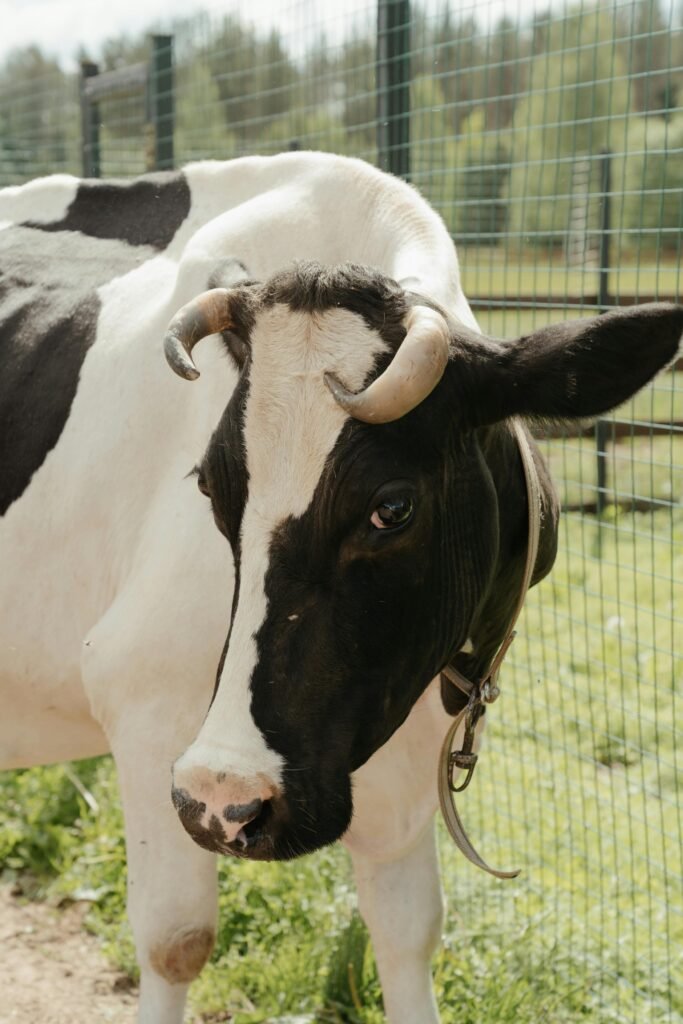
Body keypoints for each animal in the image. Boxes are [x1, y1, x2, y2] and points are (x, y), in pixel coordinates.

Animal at [0, 151, 679, 1024]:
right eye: (211, 486)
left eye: (392, 507)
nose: (230, 802)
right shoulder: (146, 705)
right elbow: (175, 939)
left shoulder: (407, 753)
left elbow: (409, 933)